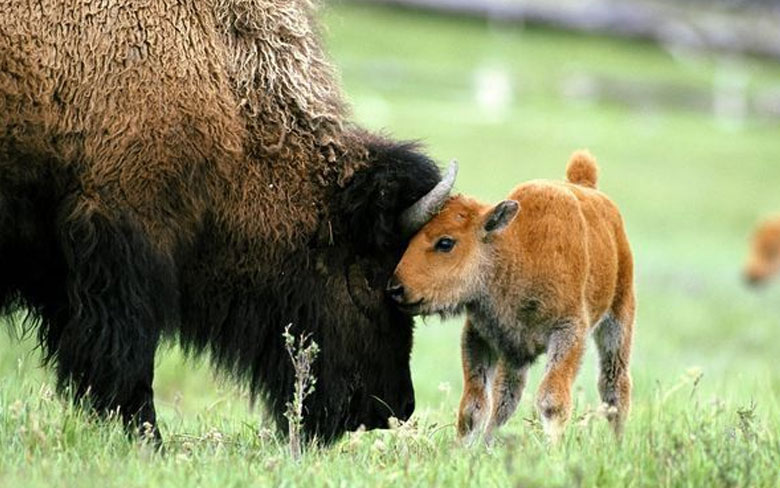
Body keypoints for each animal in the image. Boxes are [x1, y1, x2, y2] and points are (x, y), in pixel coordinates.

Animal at [390, 152, 632, 442]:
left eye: (446, 242)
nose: (396, 288)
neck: (515, 250)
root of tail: (587, 186)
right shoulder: (482, 337)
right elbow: (474, 406)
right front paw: (464, 448)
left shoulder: (568, 331)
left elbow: (551, 399)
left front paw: (553, 449)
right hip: (515, 355)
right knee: (505, 398)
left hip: (618, 320)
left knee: (614, 386)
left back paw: (618, 444)